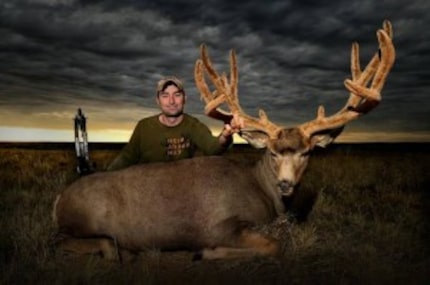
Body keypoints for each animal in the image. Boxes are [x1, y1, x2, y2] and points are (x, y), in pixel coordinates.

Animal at [52, 20, 394, 260]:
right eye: (272, 152)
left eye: (307, 152)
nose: (285, 183)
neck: (263, 192)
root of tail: (58, 201)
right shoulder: (219, 225)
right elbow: (273, 246)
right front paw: (205, 253)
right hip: (80, 223)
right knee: (69, 242)